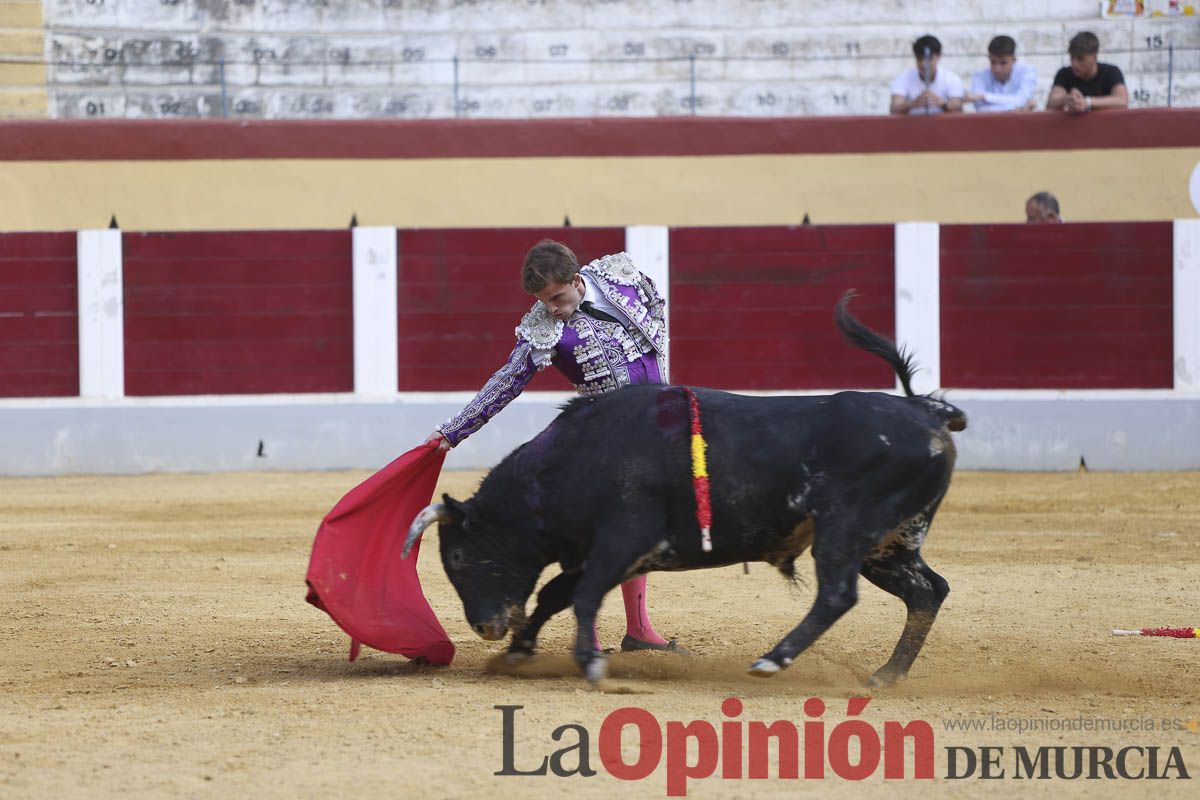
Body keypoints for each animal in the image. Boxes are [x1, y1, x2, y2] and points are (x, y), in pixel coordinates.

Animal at [403, 297, 964, 686]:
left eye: (458, 557)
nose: (485, 628)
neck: (577, 457)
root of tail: (925, 414)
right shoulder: (591, 550)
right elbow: (554, 595)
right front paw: (519, 652)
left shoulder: (621, 540)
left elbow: (582, 596)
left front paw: (588, 664)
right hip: (889, 542)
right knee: (927, 591)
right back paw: (885, 675)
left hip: (844, 532)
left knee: (838, 594)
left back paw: (771, 660)